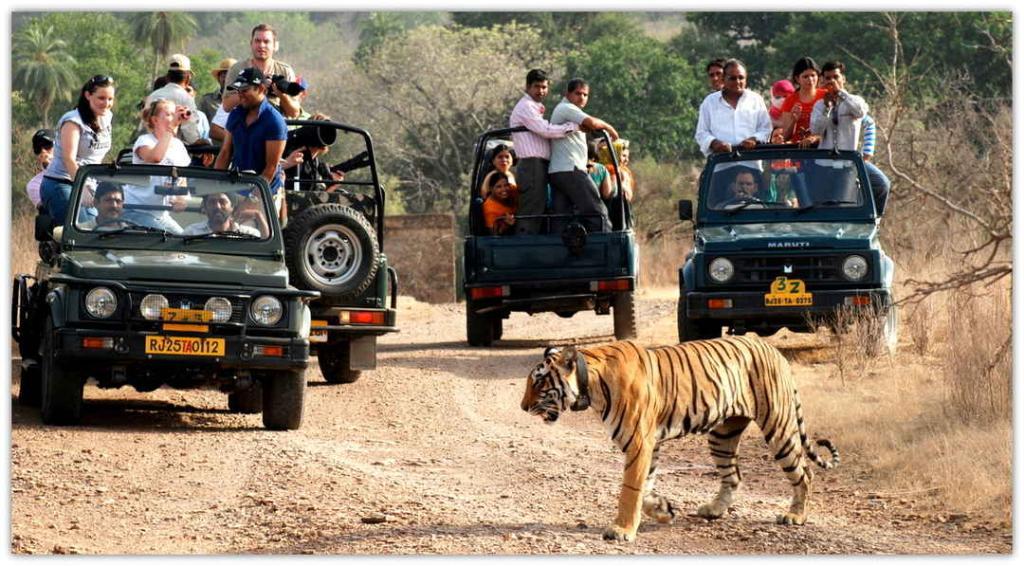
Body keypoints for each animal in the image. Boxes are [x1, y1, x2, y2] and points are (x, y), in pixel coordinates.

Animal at [520, 337, 839, 540]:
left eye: (539, 381)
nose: (522, 407)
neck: (591, 384)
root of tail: (773, 349)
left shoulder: (639, 442)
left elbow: (630, 490)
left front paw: (622, 530)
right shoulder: (649, 445)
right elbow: (645, 488)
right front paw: (663, 511)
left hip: (778, 426)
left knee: (804, 473)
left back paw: (795, 516)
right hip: (722, 434)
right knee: (733, 476)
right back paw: (714, 510)